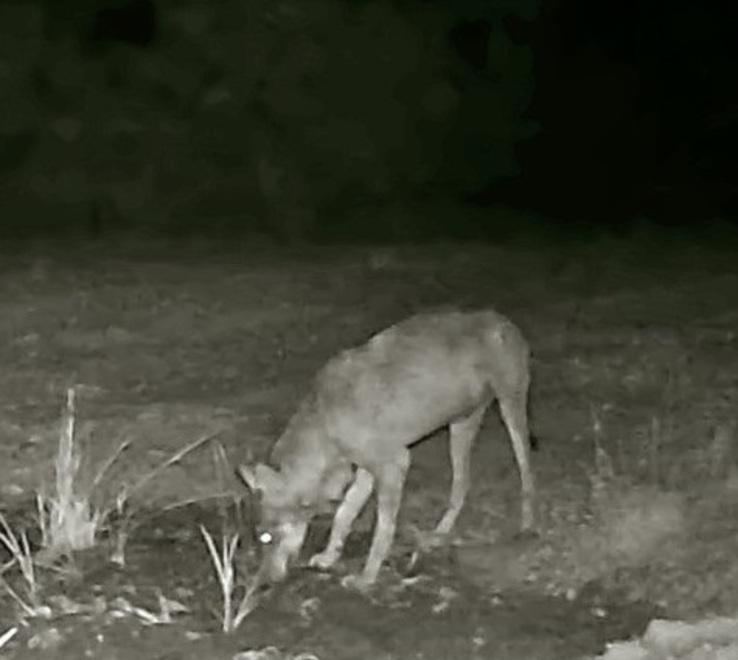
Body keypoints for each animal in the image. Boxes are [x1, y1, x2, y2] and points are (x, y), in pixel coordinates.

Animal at [238, 308, 535, 591]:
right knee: (462, 484)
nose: (265, 582)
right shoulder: (366, 470)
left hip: (510, 412)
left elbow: (382, 530)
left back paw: (527, 526)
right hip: (461, 427)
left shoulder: (395, 463)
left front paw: (367, 579)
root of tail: (501, 319)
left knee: (527, 474)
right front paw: (329, 557)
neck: (324, 422)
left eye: (266, 537)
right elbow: (343, 515)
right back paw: (438, 534)